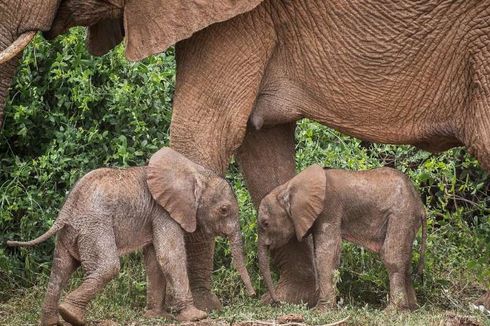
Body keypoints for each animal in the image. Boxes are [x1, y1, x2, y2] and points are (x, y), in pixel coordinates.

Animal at [8, 148, 256, 326]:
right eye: (224, 210)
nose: (253, 295)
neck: (194, 172)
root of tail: (67, 208)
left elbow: (155, 260)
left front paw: (158, 317)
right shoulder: (163, 211)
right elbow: (170, 256)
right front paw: (196, 317)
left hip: (73, 231)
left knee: (60, 268)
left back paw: (53, 321)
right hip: (95, 226)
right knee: (107, 266)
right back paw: (72, 316)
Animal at [258, 164, 426, 312]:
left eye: (265, 224)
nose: (277, 302)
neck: (288, 186)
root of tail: (421, 205)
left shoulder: (329, 209)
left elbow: (326, 254)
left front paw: (320, 311)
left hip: (402, 214)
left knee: (392, 257)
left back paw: (392, 311)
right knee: (405, 259)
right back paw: (411, 309)